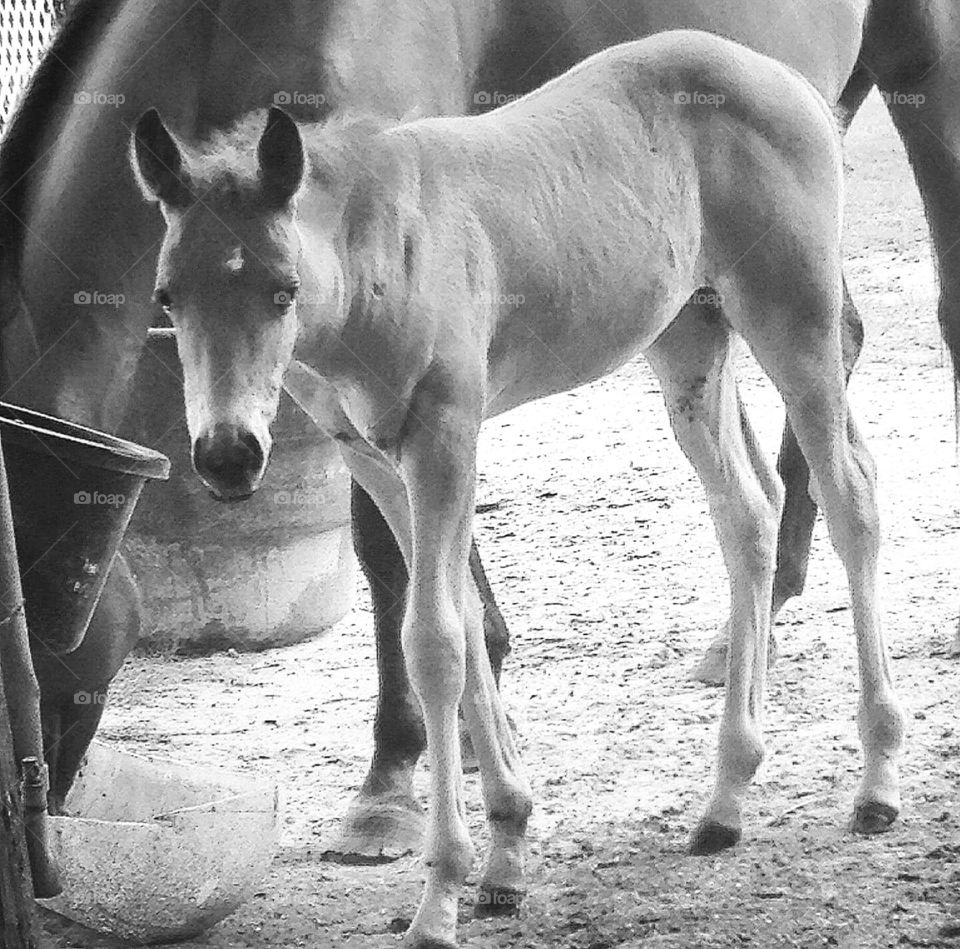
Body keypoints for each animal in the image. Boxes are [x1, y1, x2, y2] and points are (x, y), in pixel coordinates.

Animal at [2, 0, 958, 860]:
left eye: (282, 289)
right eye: (168, 296)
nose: (229, 457)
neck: (381, 248)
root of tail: (780, 81)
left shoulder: (446, 435)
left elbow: (428, 621)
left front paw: (418, 819)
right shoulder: (373, 452)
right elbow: (448, 609)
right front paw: (503, 814)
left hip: (793, 311)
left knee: (854, 494)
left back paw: (877, 783)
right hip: (691, 340)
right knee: (747, 517)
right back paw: (724, 800)